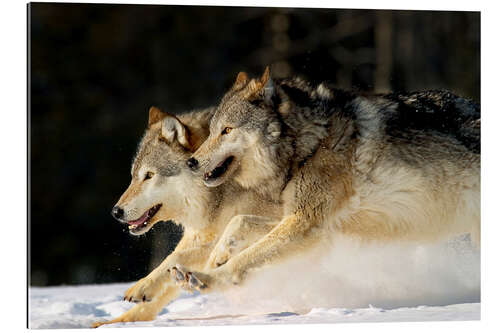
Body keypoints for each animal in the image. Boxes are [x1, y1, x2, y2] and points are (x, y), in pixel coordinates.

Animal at [92, 106, 284, 326]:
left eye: (149, 175)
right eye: (133, 177)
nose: (116, 212)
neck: (218, 193)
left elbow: (176, 256)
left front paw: (143, 286)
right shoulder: (198, 235)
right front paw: (117, 322)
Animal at [174, 67, 478, 294]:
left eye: (227, 130)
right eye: (212, 131)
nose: (191, 163)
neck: (310, 143)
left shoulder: (305, 223)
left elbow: (243, 260)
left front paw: (205, 278)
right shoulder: (317, 226)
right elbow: (239, 222)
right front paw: (216, 256)